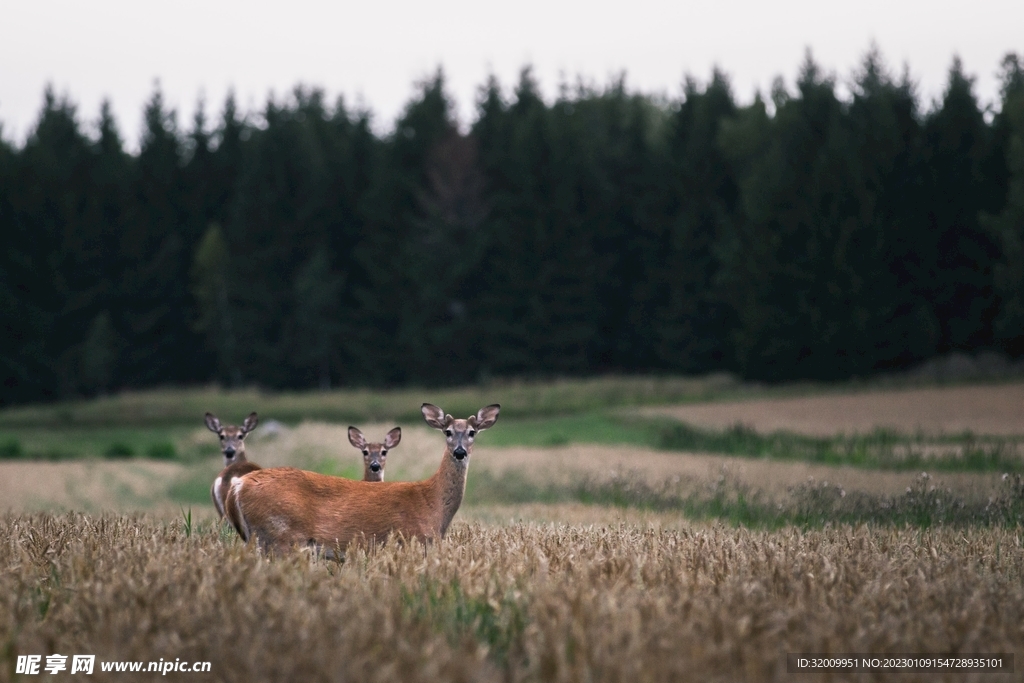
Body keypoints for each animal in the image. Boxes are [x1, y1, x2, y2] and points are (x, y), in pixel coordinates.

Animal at [224, 403, 499, 555]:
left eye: (472, 432)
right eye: (448, 431)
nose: (460, 452)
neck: (432, 503)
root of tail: (238, 486)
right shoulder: (412, 541)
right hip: (280, 537)